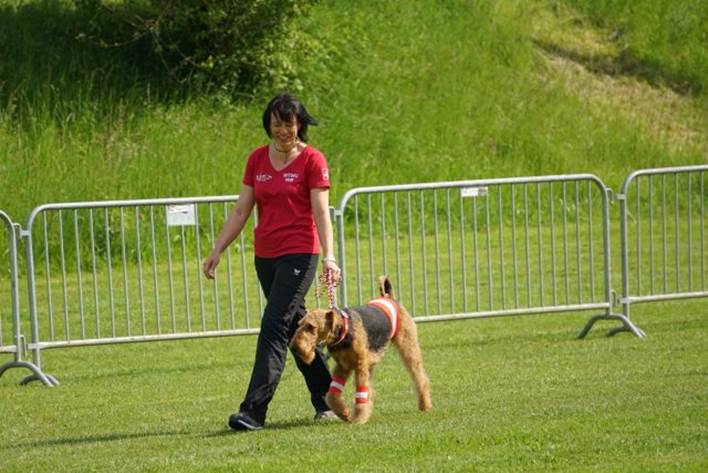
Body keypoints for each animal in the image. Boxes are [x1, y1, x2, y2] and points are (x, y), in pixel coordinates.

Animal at [288, 274, 432, 422]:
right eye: (299, 324)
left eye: (311, 327)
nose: (294, 347)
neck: (343, 331)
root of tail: (389, 298)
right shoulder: (342, 366)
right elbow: (332, 394)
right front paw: (345, 413)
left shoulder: (360, 365)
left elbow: (360, 391)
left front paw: (358, 418)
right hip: (372, 359)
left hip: (408, 347)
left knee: (420, 377)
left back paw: (425, 405)